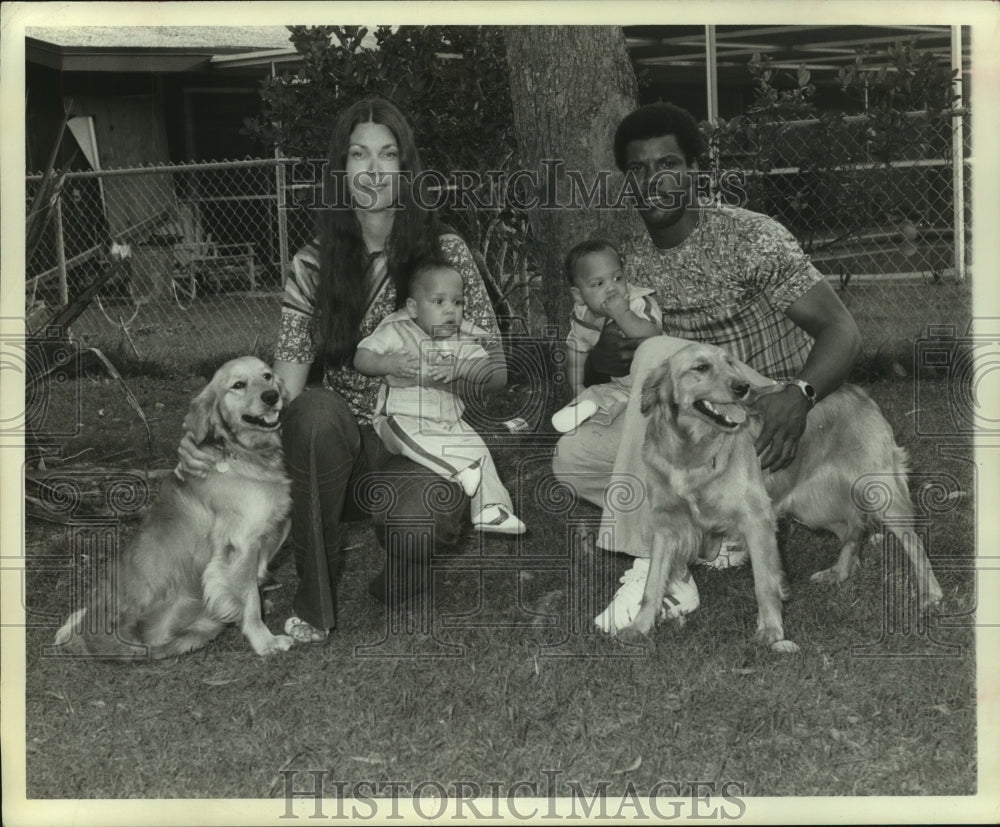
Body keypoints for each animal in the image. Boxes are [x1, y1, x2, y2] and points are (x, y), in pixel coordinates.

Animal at [53, 356, 292, 660]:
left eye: (268, 376)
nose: (271, 396)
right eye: (238, 385)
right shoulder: (241, 544)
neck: (240, 453)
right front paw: (264, 641)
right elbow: (248, 596)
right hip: (196, 628)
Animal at [624, 342, 944, 652]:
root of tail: (858, 390)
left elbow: (764, 583)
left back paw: (931, 594)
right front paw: (640, 626)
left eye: (730, 362)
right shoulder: (666, 525)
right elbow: (653, 582)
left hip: (880, 493)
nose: (742, 387)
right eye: (701, 367)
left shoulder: (757, 520)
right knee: (855, 528)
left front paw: (771, 630)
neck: (691, 451)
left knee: (913, 542)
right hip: (812, 508)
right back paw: (840, 572)